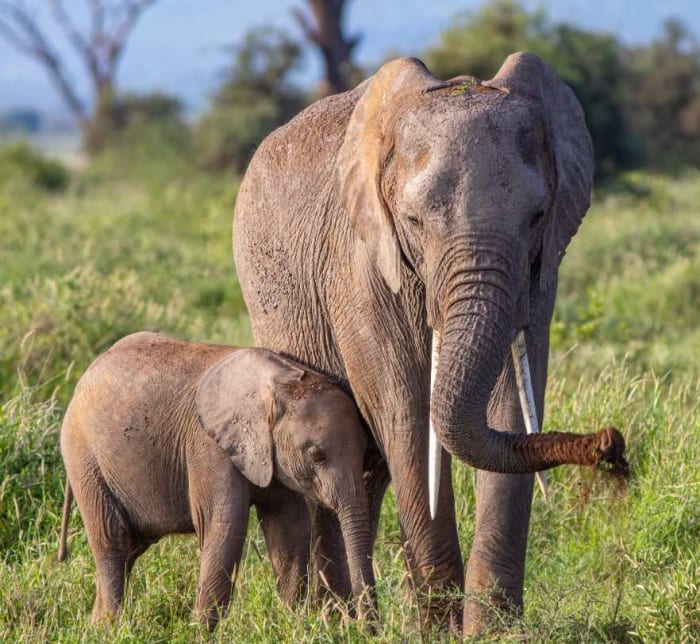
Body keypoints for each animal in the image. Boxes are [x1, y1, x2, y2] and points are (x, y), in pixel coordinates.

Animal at [58, 331, 375, 630]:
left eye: (365, 451)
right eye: (317, 455)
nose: (366, 628)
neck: (279, 382)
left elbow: (290, 530)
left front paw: (294, 624)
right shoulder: (209, 447)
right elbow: (224, 526)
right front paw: (199, 632)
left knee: (130, 548)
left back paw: (95, 627)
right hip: (84, 458)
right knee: (112, 542)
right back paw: (110, 629)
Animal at [232, 53, 627, 633]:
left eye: (537, 217)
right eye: (414, 221)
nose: (609, 443)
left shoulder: (539, 273)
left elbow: (510, 409)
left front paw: (495, 632)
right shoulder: (363, 266)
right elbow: (409, 416)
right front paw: (439, 630)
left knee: (367, 474)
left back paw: (356, 621)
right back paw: (333, 623)